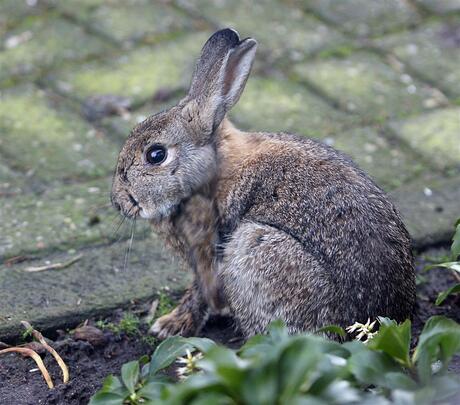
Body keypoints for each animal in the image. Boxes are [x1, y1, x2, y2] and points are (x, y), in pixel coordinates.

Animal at [111, 27, 416, 338]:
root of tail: (375, 323)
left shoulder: (205, 247)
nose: (119, 201)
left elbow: (201, 292)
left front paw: (170, 325)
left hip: (253, 247)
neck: (214, 169)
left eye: (155, 155)